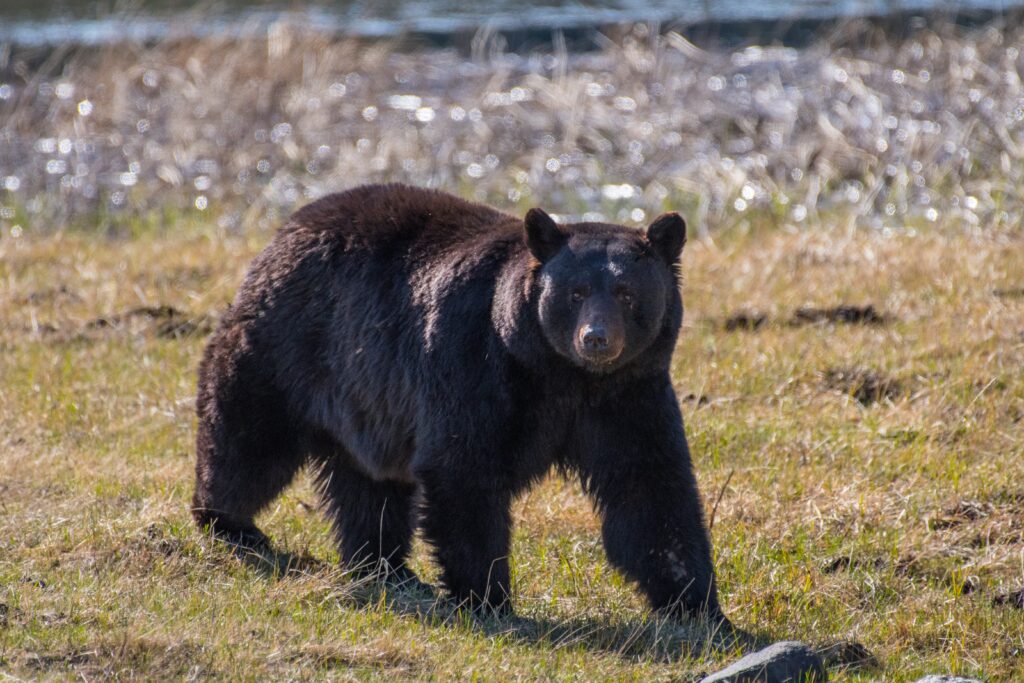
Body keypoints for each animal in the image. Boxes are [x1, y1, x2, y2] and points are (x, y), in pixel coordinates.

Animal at [192, 183, 723, 621]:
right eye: (575, 293)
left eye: (627, 293)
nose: (596, 339)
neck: (561, 375)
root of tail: (284, 231)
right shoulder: (472, 363)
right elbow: (463, 467)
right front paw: (487, 596)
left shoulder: (629, 393)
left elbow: (650, 484)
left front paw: (698, 606)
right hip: (285, 347)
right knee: (247, 441)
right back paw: (230, 523)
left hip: (363, 397)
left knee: (369, 484)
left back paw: (385, 566)